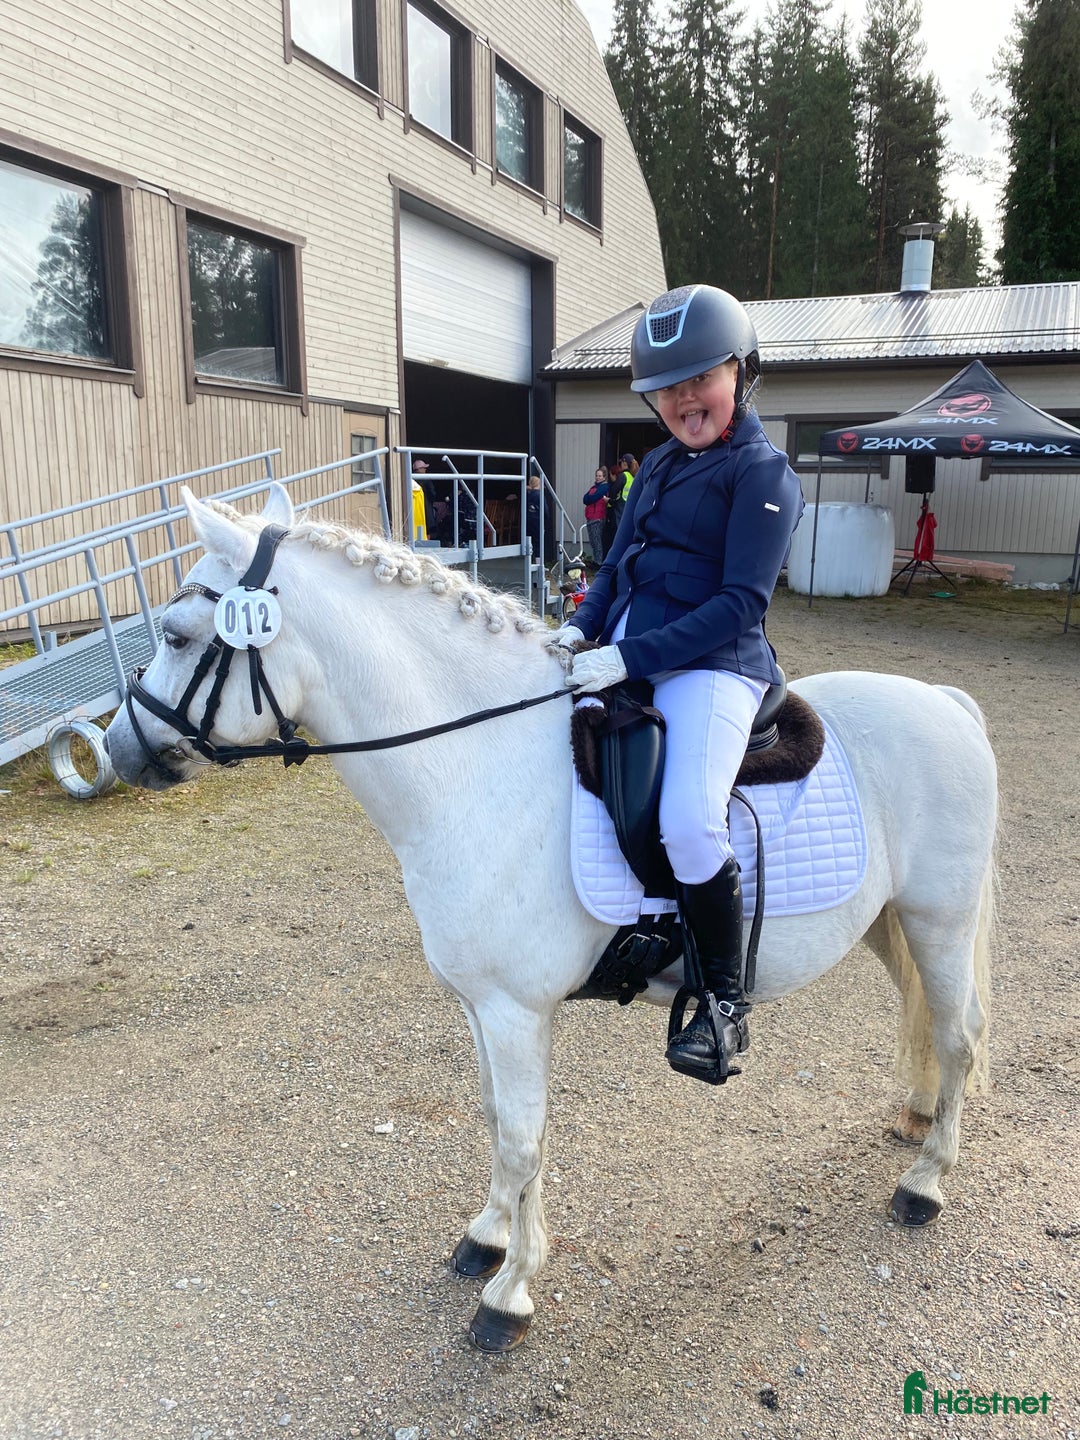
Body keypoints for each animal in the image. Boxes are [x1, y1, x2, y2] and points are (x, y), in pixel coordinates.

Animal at [103, 484, 997, 1353]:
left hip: (940, 921)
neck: (479, 766)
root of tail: (948, 702)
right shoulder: (479, 1005)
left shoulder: (515, 1010)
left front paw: (510, 1294)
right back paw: (917, 1121)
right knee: (926, 1021)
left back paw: (925, 1183)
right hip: (890, 922)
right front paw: (488, 1236)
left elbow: (523, 1139)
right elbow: (497, 1117)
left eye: (178, 634)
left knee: (959, 1037)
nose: (116, 750)